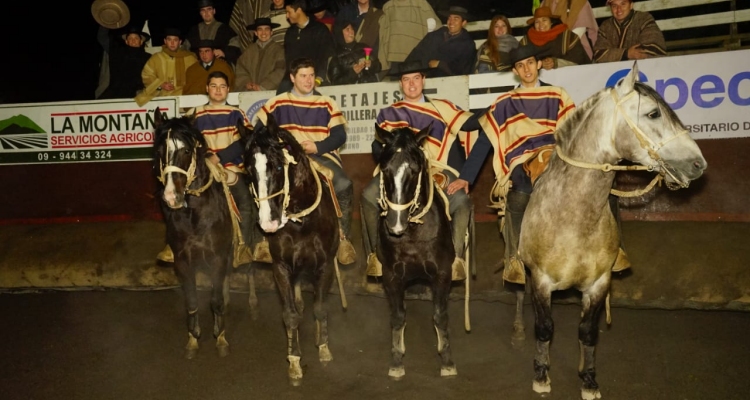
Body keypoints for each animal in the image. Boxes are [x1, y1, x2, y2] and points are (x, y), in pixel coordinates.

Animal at [153, 110, 234, 360]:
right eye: (159, 151)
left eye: (187, 150)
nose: (171, 197)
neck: (195, 214)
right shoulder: (182, 261)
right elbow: (191, 300)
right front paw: (193, 339)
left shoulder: (218, 257)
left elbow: (216, 300)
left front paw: (221, 337)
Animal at [241, 114, 346, 386]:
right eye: (249, 171)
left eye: (279, 167)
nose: (268, 222)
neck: (302, 222)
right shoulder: (282, 268)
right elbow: (290, 315)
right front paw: (294, 361)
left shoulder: (325, 267)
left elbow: (320, 308)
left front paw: (324, 348)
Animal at [374, 124, 458, 378]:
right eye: (385, 169)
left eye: (414, 169)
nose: (395, 224)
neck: (412, 233)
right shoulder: (392, 276)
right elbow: (398, 317)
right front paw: (396, 360)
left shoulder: (442, 274)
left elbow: (440, 316)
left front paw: (447, 361)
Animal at [520, 64, 708, 398]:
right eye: (653, 114)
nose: (698, 164)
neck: (573, 220)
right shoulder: (540, 281)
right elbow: (544, 327)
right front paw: (541, 376)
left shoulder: (599, 284)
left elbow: (588, 332)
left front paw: (589, 379)